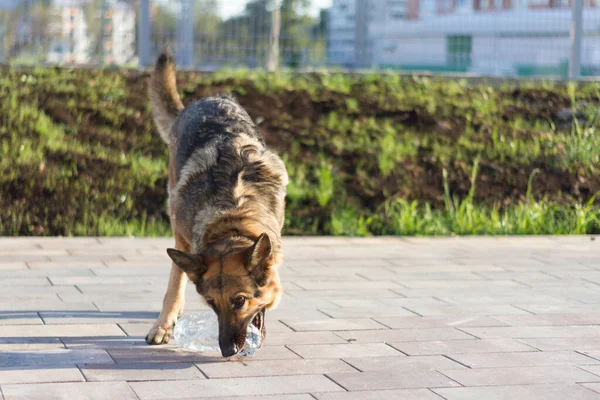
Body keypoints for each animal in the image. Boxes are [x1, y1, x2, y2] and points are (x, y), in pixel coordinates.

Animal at [144, 53, 288, 356]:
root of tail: (206, 99)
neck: (232, 217)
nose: (227, 350)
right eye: (211, 303)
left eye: (239, 301)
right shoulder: (183, 240)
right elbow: (175, 283)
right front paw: (163, 326)